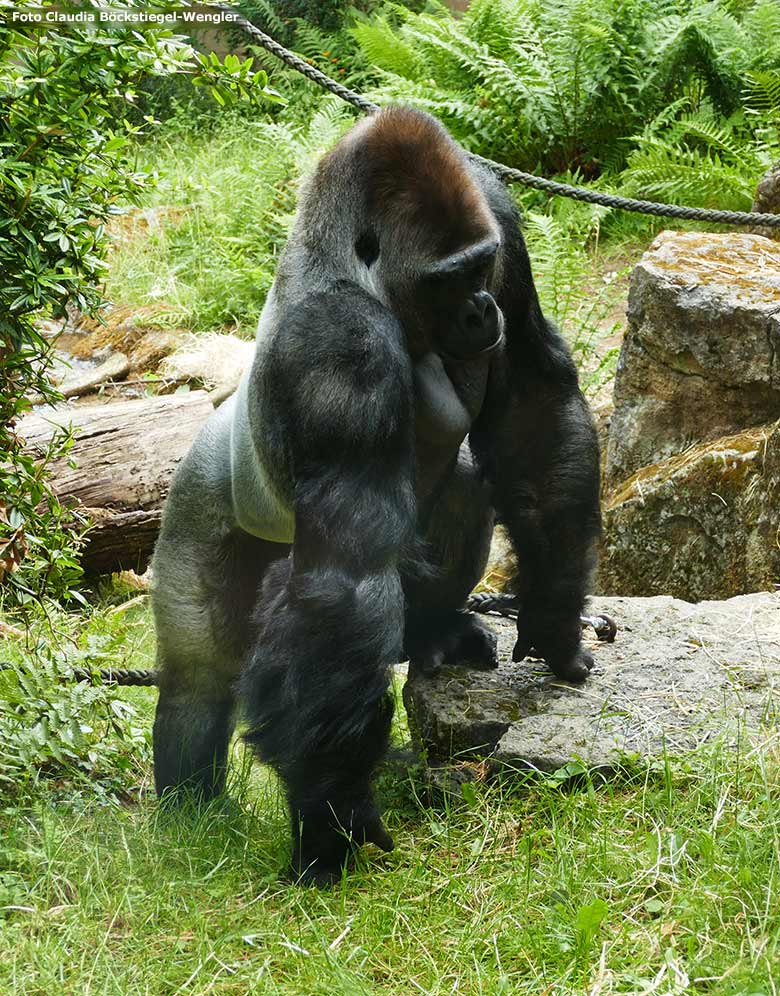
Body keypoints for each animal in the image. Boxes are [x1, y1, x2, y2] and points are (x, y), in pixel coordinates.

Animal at [152, 107, 604, 888]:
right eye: (448, 281)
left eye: (482, 267)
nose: (483, 311)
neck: (361, 272)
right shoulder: (340, 348)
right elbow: (343, 580)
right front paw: (335, 810)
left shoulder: (497, 210)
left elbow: (532, 404)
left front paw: (554, 614)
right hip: (204, 494)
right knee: (198, 674)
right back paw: (190, 809)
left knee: (463, 488)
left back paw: (432, 631)